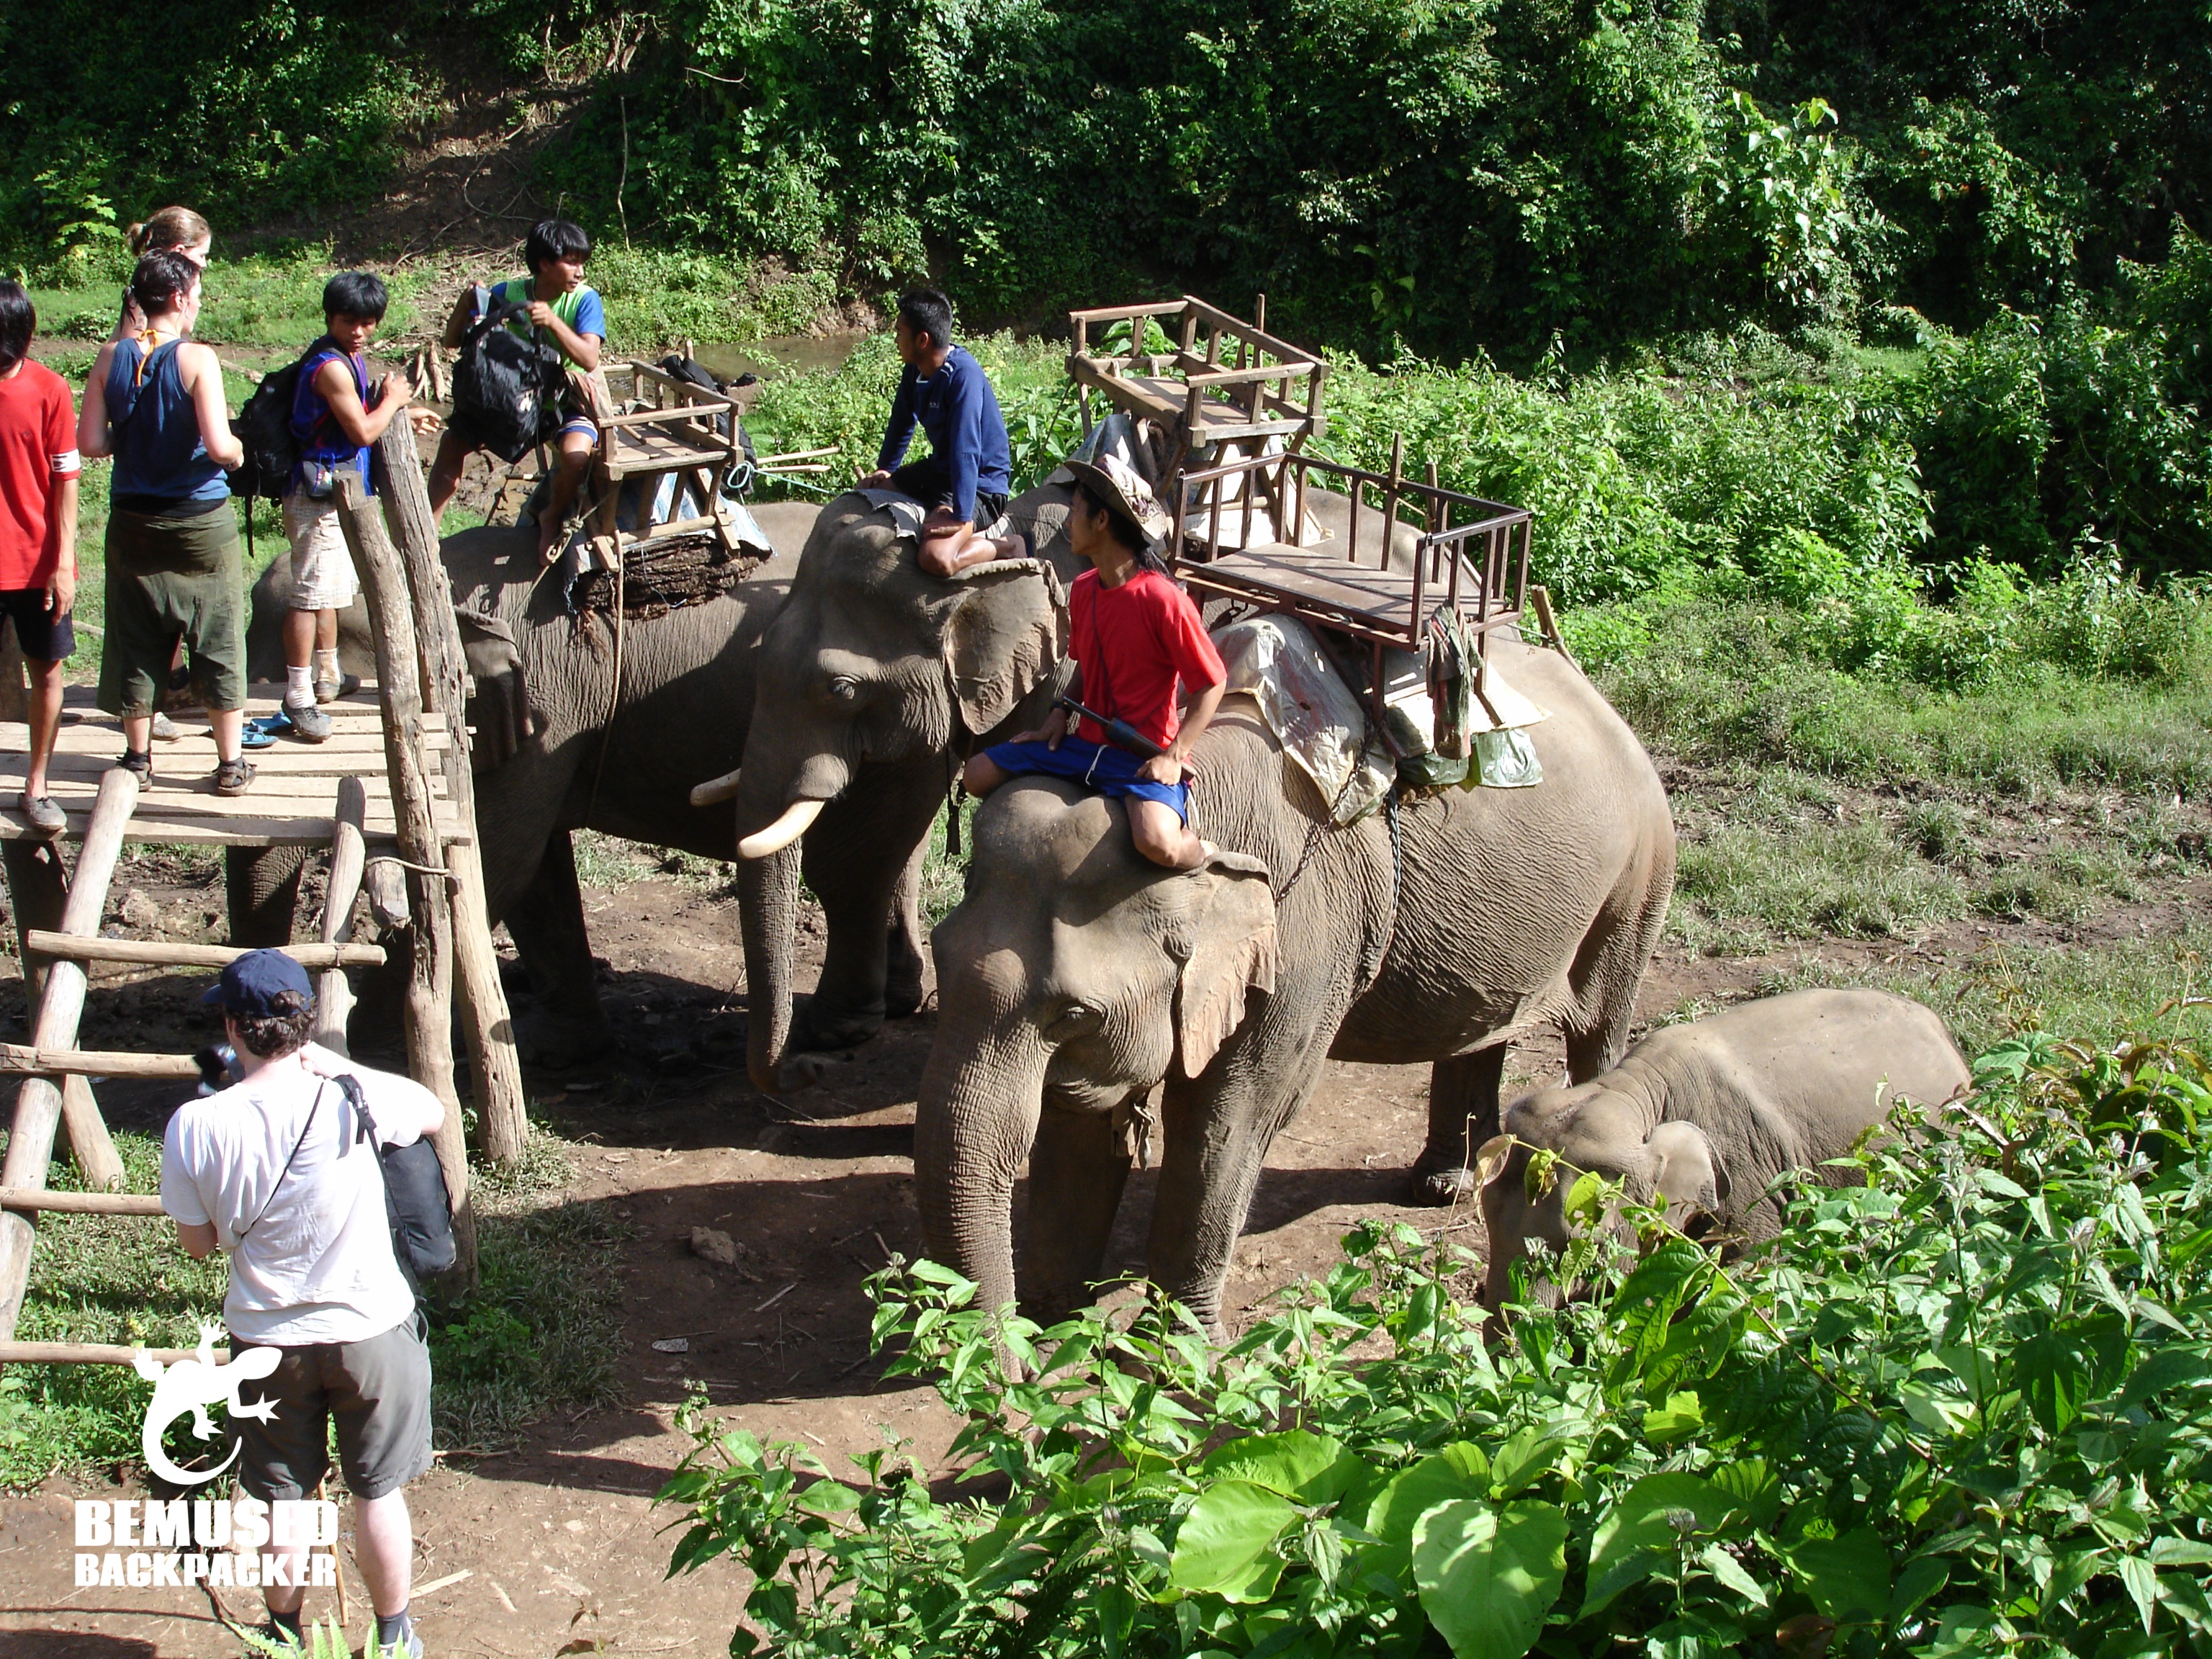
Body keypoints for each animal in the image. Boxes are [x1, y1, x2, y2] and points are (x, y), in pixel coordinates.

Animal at [231, 501, 942, 1066]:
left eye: (332, 692)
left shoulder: (539, 711)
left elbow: (497, 862)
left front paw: (369, 1056)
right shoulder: (533, 722)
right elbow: (531, 870)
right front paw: (558, 1047)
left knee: (851, 869)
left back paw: (839, 1029)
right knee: (891, 858)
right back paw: (896, 1003)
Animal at [911, 632, 1677, 1332]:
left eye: (1072, 1015)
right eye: (939, 961)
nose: (1003, 1375)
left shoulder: (1306, 937)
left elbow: (1230, 1116)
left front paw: (1169, 1357)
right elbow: (1086, 1110)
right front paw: (1055, 1325)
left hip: (1639, 876)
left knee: (1600, 1026)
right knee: (1481, 1025)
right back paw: (1442, 1184)